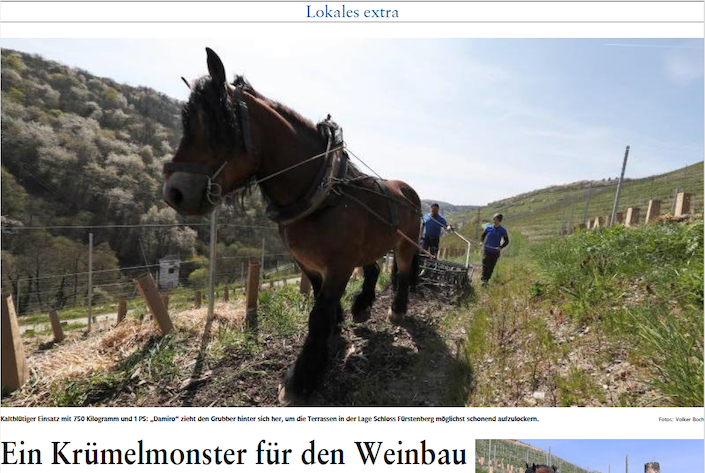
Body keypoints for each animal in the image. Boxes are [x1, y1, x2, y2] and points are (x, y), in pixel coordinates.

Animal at [162, 48, 420, 402]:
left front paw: (303, 378)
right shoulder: (307, 263)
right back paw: (363, 307)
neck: (324, 193)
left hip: (406, 245)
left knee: (404, 273)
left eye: (219, 126)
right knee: (373, 269)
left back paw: (397, 309)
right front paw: (335, 333)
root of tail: (410, 192)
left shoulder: (338, 266)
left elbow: (318, 316)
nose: (174, 192)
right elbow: (320, 302)